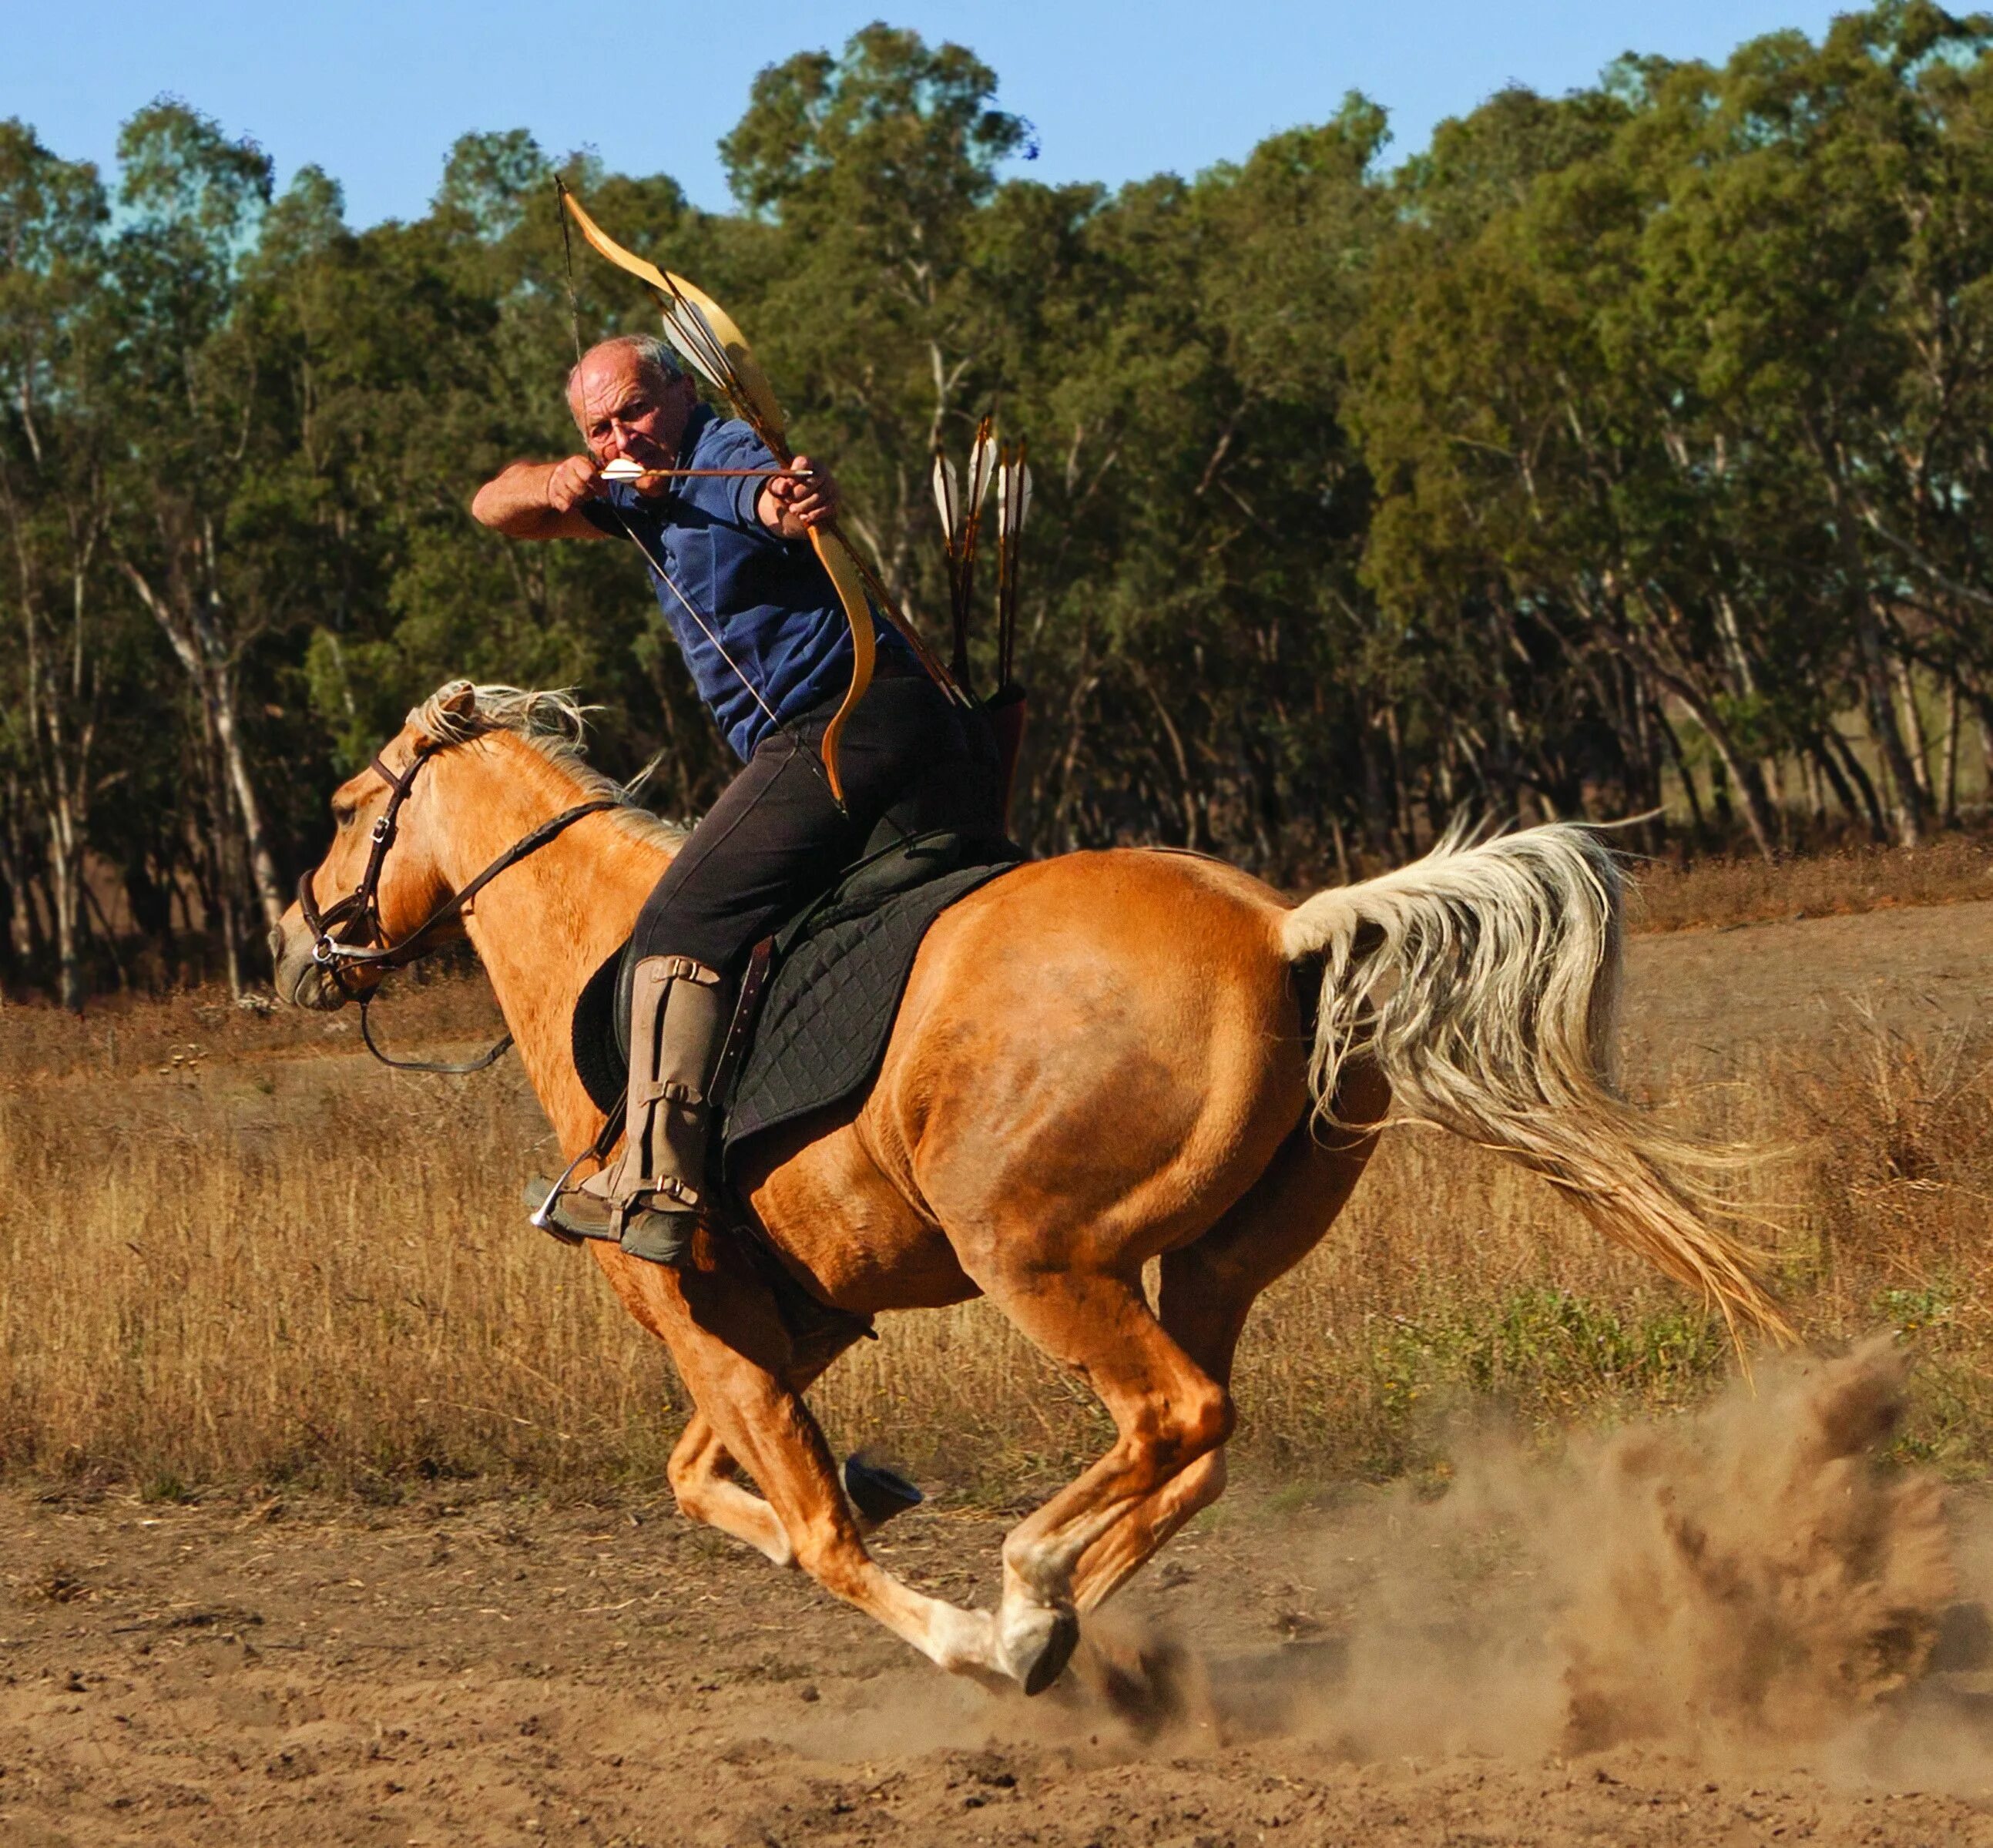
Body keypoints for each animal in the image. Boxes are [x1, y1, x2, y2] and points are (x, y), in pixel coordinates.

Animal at [269, 677, 1793, 1690]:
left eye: (346, 810)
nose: (293, 944)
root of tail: (1282, 928)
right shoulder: (797, 1317)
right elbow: (703, 1479)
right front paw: (888, 1489)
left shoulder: (700, 1318)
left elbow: (811, 1532)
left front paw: (948, 1618)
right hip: (1204, 1263)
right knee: (1200, 1439)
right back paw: (1059, 1619)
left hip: (1037, 1258)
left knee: (1174, 1415)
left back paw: (1021, 1602)